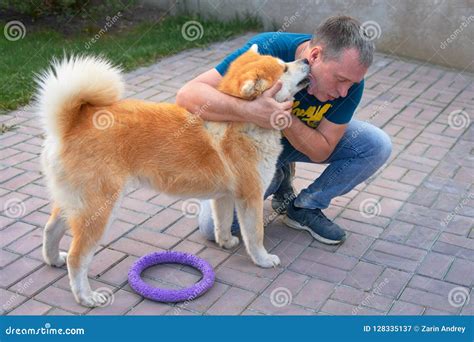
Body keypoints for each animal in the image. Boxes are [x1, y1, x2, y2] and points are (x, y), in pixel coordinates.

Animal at [37, 44, 312, 306]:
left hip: (74, 203)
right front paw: (263, 259)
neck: (242, 122)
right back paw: (86, 297)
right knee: (77, 258)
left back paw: (54, 259)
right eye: (284, 67)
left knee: (50, 229)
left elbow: (222, 223)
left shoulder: (225, 196)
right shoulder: (250, 197)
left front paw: (226, 242)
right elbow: (255, 235)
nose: (307, 60)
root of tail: (72, 124)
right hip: (100, 210)